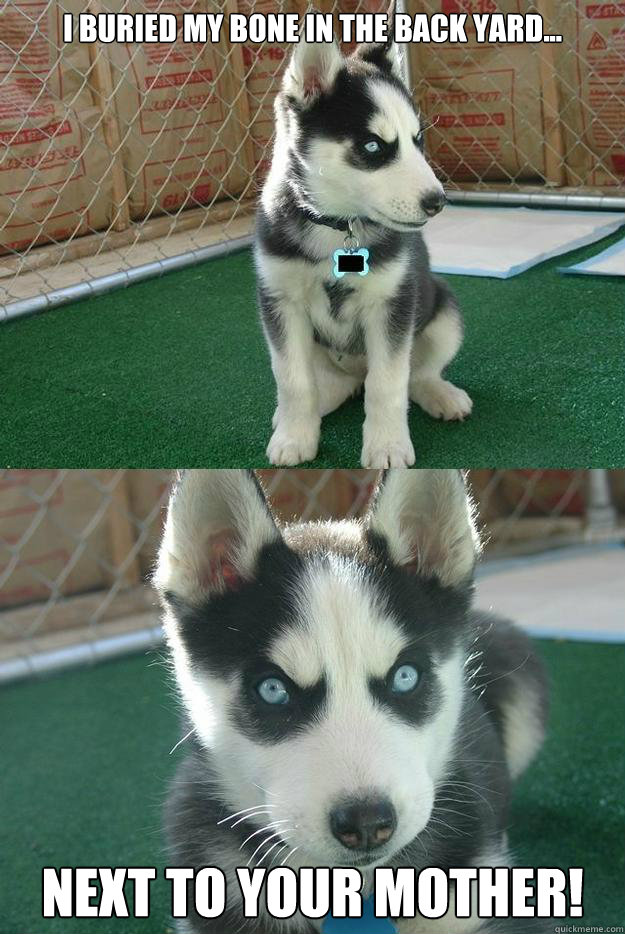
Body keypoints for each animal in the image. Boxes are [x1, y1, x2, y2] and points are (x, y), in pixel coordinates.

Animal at [256, 29, 470, 468]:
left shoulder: (392, 304)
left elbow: (387, 383)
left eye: (417, 140)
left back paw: (440, 394)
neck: (338, 226)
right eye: (373, 147)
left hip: (444, 313)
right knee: (329, 383)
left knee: (415, 375)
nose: (437, 202)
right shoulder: (280, 301)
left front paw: (387, 445)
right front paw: (294, 436)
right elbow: (292, 379)